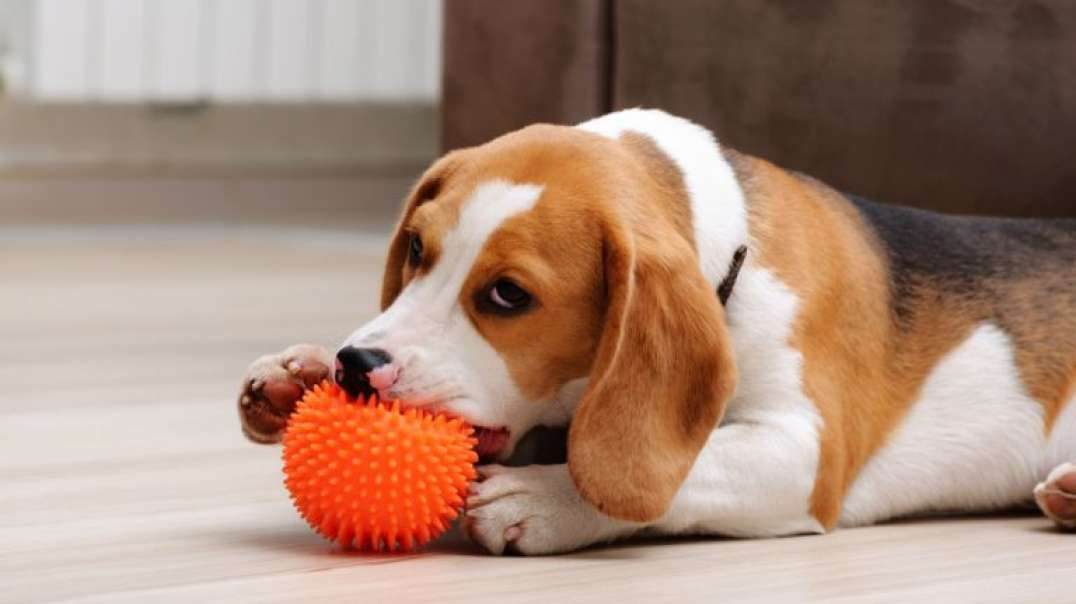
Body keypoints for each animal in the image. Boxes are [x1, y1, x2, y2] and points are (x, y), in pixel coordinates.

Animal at [237, 108, 1076, 551]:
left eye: (508, 295)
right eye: (416, 248)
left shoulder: (807, 453)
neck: (732, 246)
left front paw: (546, 500)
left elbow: (682, 466)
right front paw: (296, 373)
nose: (357, 363)